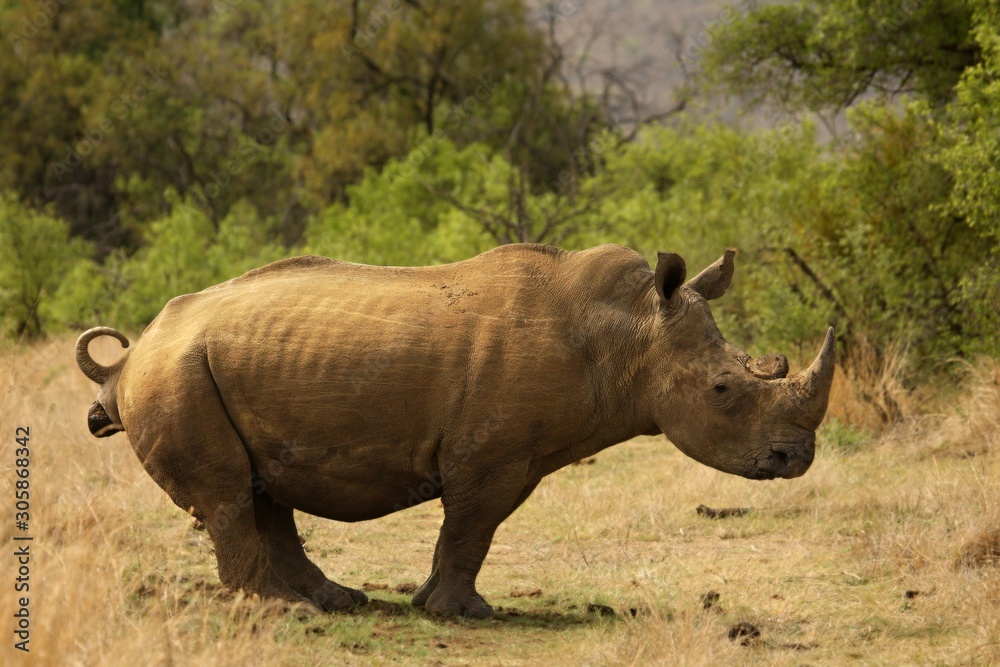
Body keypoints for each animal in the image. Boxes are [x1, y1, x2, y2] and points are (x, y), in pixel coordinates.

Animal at [76, 243, 835, 619]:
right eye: (724, 390)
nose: (795, 457)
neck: (628, 335)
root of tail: (130, 357)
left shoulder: (507, 453)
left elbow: (469, 529)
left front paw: (433, 606)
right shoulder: (492, 453)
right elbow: (475, 524)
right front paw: (467, 614)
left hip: (211, 367)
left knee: (262, 491)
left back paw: (331, 602)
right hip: (176, 372)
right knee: (230, 494)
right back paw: (281, 612)